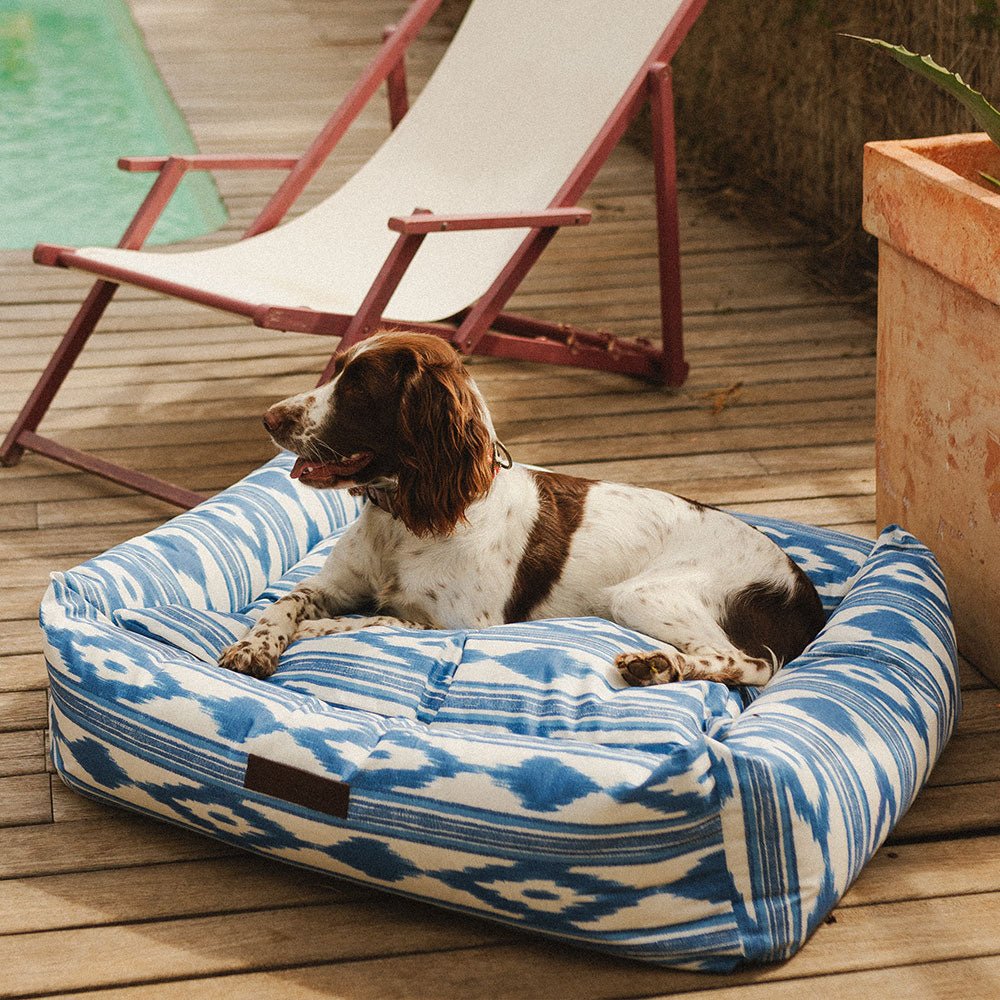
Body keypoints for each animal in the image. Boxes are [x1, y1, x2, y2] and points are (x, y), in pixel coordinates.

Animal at [223, 334, 824, 688]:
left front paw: (319, 632)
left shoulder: (463, 624)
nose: (269, 417)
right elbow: (285, 603)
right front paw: (252, 647)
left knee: (751, 664)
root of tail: (801, 588)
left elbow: (379, 620)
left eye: (358, 387)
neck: (405, 517)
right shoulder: (333, 584)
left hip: (645, 593)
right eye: (336, 371)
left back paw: (658, 664)